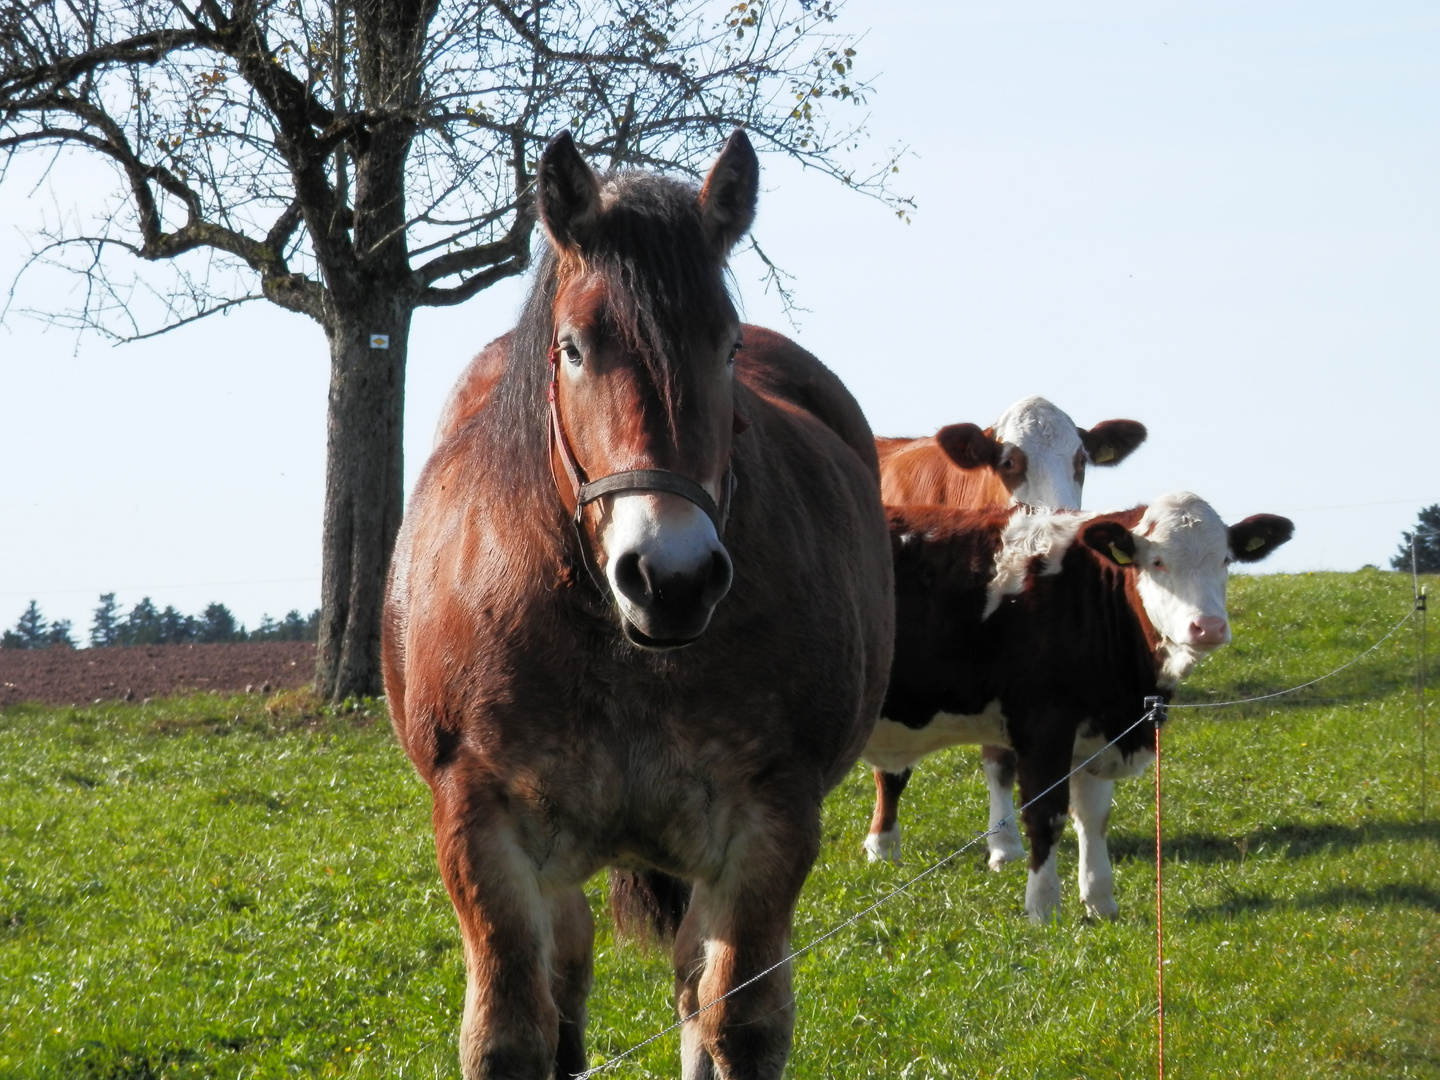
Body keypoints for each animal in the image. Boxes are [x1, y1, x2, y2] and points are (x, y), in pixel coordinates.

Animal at [383, 131, 898, 1077]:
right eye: (575, 346)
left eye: (725, 346)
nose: (672, 576)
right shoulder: (482, 824)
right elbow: (512, 1032)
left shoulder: (767, 823)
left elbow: (737, 1023)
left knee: (694, 989)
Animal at [864, 498, 1296, 921]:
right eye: (1157, 562)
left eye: (1224, 559)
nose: (1208, 627)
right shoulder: (1044, 727)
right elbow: (1046, 814)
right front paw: (1043, 907)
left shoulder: (1096, 732)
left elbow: (1093, 817)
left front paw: (1100, 900)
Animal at [869, 397, 1140, 869]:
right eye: (1010, 461)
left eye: (1080, 461)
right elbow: (890, 765)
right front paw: (882, 844)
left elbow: (1001, 759)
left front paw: (1005, 843)